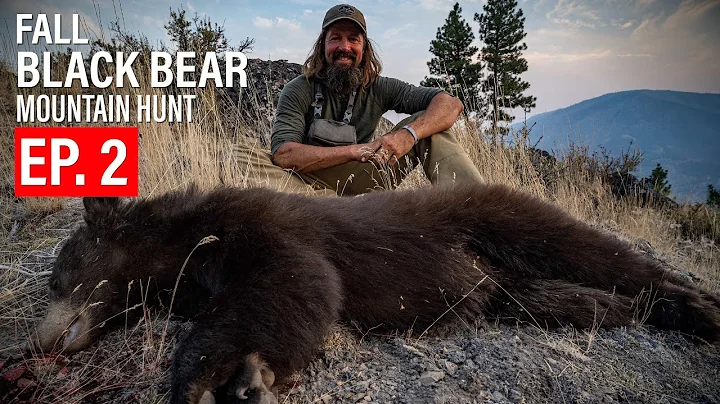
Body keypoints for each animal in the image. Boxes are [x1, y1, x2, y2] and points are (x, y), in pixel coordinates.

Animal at [35, 183, 720, 404]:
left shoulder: (265, 230)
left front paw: (223, 378)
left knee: (598, 255)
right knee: (570, 298)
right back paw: (629, 310)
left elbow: (298, 283)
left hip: (503, 218)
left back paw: (699, 305)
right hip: (508, 288)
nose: (39, 341)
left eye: (58, 276)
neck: (181, 246)